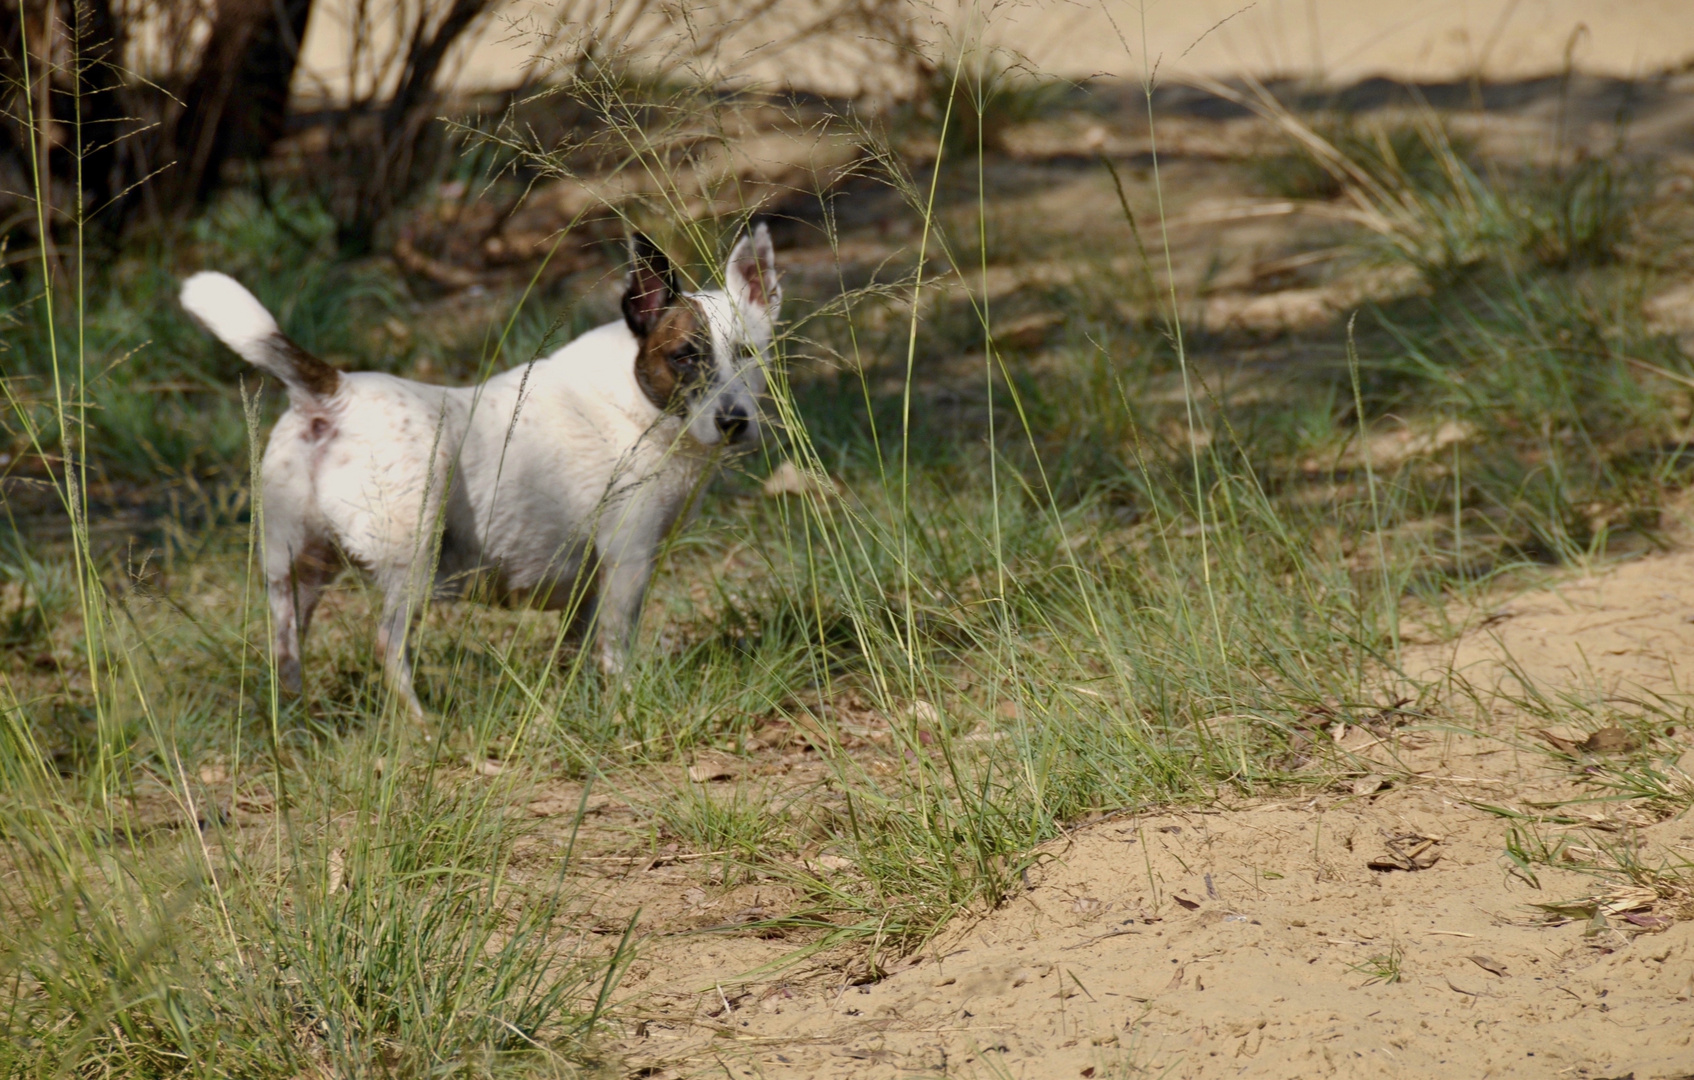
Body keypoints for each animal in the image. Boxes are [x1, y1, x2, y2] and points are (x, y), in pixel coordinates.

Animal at [180, 226, 779, 717]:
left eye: (749, 355)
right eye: (684, 357)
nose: (734, 422)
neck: (636, 402)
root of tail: (335, 393)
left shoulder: (588, 585)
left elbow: (578, 649)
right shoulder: (628, 563)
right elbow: (616, 651)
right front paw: (625, 703)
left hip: (293, 568)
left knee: (286, 649)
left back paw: (296, 723)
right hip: (412, 551)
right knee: (387, 645)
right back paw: (420, 728)